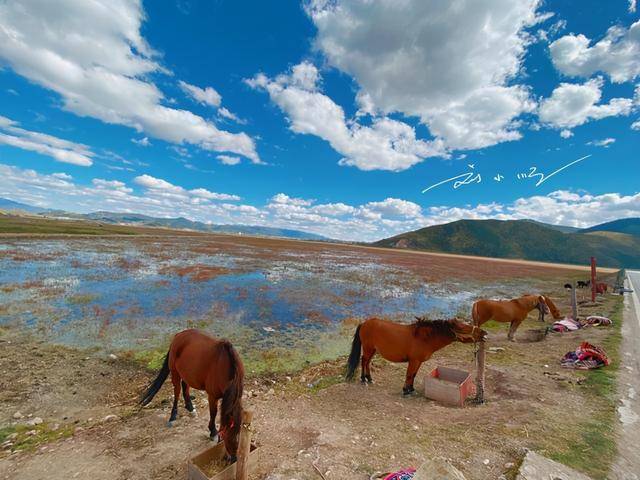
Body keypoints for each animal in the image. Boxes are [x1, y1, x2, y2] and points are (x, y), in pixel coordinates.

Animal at [139, 330, 244, 462]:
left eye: (239, 432)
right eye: (227, 432)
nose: (233, 458)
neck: (225, 367)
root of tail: (178, 335)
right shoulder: (212, 396)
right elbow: (213, 413)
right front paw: (213, 432)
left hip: (186, 373)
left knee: (185, 387)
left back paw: (190, 407)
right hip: (175, 372)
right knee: (177, 391)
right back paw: (173, 416)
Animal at [344, 316, 484, 396]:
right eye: (463, 327)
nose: (483, 332)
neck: (424, 338)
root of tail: (364, 323)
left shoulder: (419, 361)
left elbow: (414, 375)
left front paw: (411, 389)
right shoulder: (414, 361)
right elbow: (409, 374)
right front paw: (406, 390)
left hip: (373, 350)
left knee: (367, 362)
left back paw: (369, 378)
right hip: (368, 349)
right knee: (364, 361)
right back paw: (363, 379)